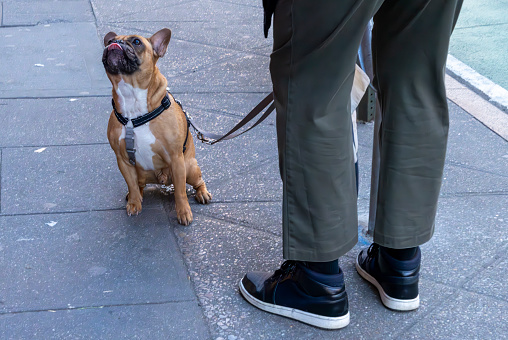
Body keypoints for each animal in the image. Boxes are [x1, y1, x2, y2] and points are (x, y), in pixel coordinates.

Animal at [102, 28, 211, 226]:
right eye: (109, 41)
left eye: (136, 42)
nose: (115, 43)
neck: (132, 98)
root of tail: (162, 182)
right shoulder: (122, 160)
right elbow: (131, 184)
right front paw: (134, 203)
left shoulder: (176, 159)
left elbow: (181, 193)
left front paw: (183, 212)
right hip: (141, 172)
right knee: (139, 185)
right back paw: (134, 196)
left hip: (189, 167)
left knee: (196, 182)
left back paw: (202, 193)